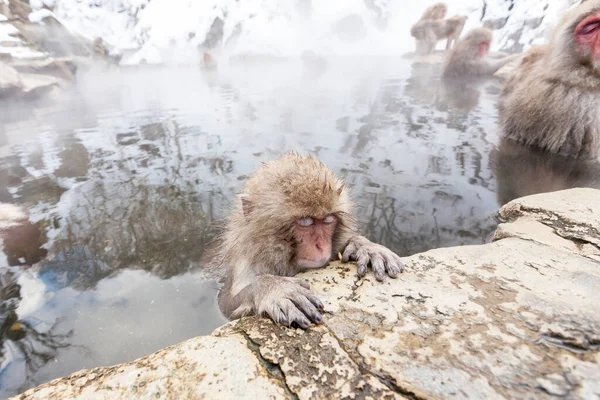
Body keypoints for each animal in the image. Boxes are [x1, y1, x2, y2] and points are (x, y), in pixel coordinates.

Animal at [213, 153, 406, 328]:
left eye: (328, 220)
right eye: (305, 221)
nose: (321, 246)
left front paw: (364, 245)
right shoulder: (246, 264)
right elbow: (226, 304)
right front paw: (273, 287)